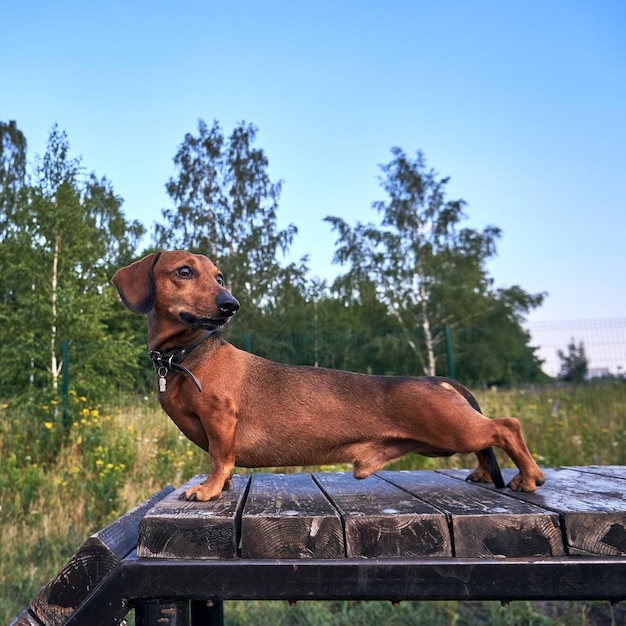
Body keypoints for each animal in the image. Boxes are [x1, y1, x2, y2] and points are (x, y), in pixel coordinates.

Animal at [112, 251, 540, 500]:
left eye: (218, 277)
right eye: (184, 271)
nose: (230, 304)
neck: (188, 355)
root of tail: (438, 380)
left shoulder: (220, 420)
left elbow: (220, 458)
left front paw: (209, 489)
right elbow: (222, 461)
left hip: (453, 430)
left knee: (507, 426)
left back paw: (529, 476)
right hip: (451, 436)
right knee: (488, 441)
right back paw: (485, 474)